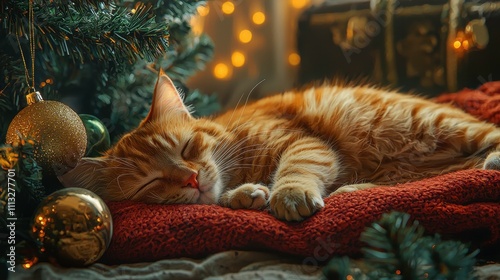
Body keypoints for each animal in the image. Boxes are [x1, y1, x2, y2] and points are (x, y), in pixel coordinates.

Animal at [60, 72, 500, 221]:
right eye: (150, 183)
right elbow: (229, 197)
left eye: (186, 149)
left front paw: (287, 194)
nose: (190, 179)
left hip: (434, 124)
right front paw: (245, 196)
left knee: (489, 138)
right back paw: (351, 191)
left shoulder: (301, 144)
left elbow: (295, 170)